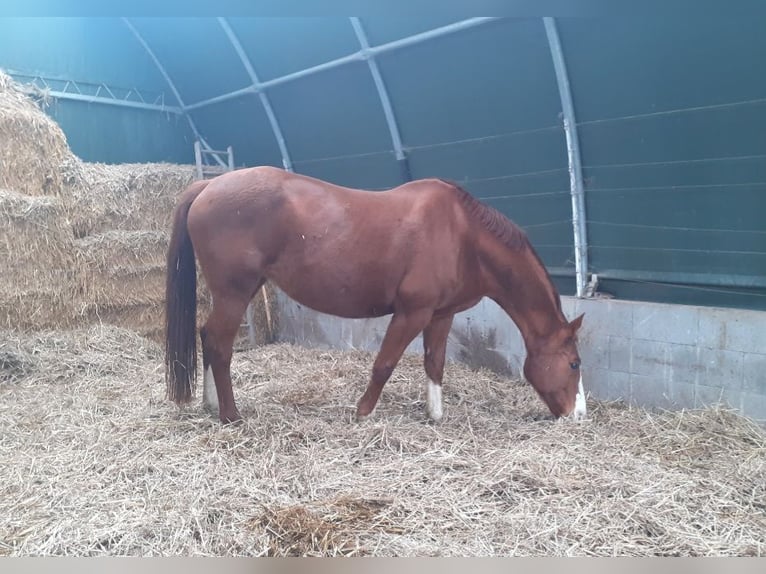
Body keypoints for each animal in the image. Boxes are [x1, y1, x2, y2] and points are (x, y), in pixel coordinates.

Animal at [164, 166, 586, 424]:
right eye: (575, 364)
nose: (578, 414)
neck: (462, 234)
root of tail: (209, 186)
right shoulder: (412, 312)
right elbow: (384, 364)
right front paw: (363, 412)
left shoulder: (440, 314)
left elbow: (435, 364)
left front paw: (436, 416)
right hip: (234, 293)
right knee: (219, 344)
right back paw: (231, 415)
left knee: (207, 336)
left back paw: (211, 404)